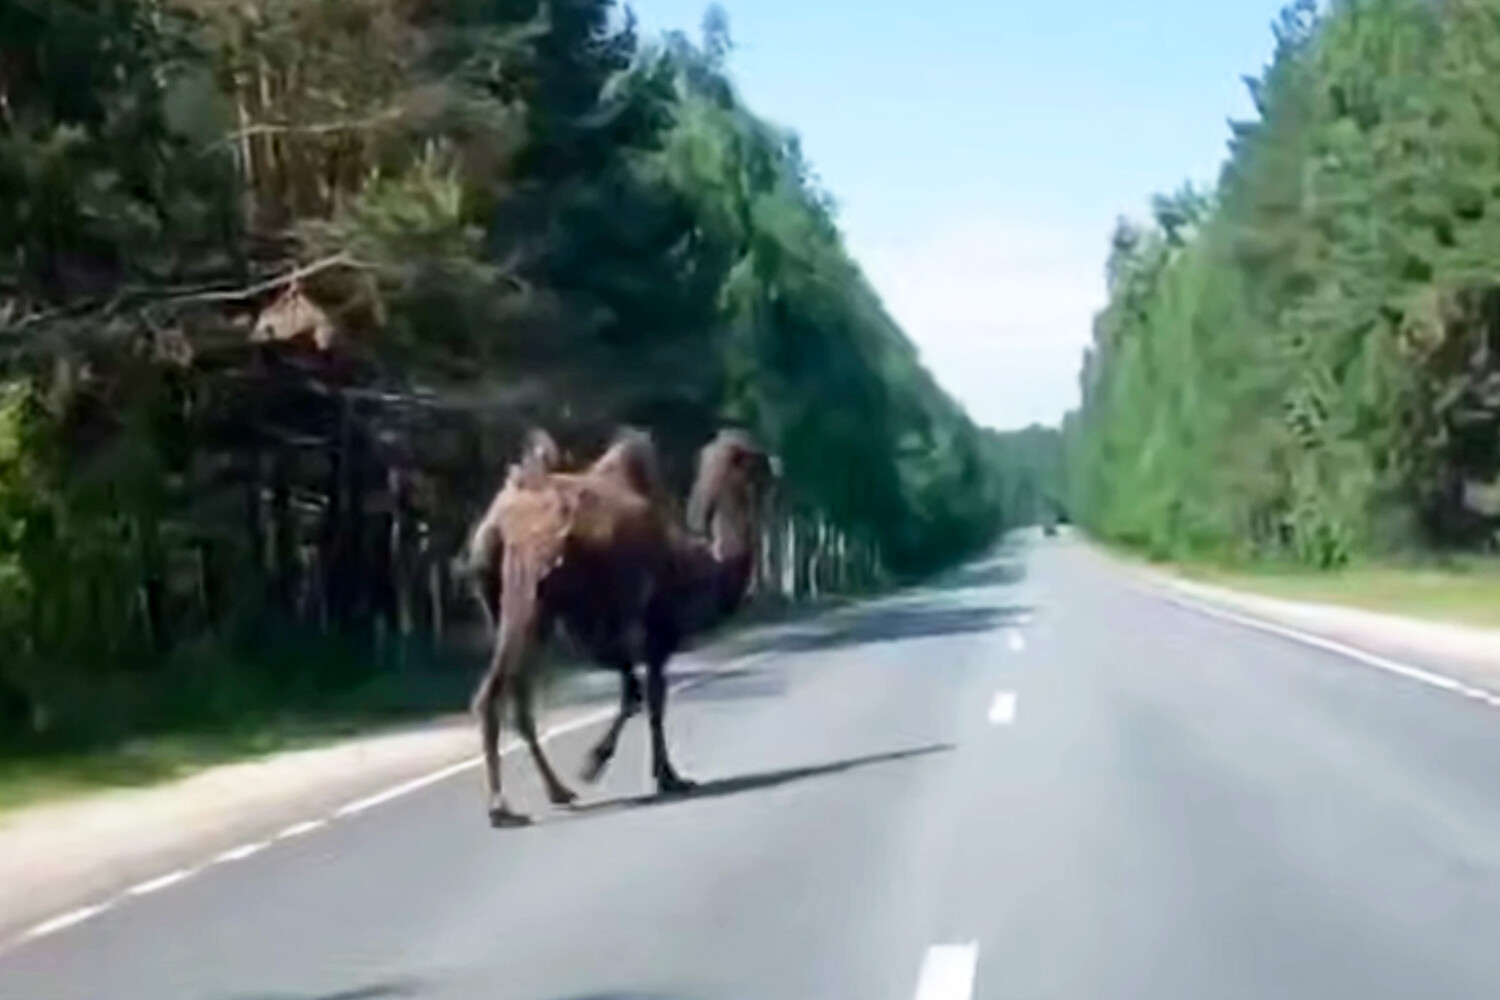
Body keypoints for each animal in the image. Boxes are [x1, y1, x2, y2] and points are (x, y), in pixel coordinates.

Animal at [461, 426, 777, 827]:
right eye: (754, 457)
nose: (777, 465)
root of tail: (498, 521)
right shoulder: (655, 632)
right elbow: (650, 699)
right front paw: (659, 776)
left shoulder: (604, 634)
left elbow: (635, 692)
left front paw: (624, 768)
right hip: (529, 592)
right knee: (494, 693)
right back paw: (502, 807)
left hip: (505, 602)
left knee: (518, 697)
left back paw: (557, 791)